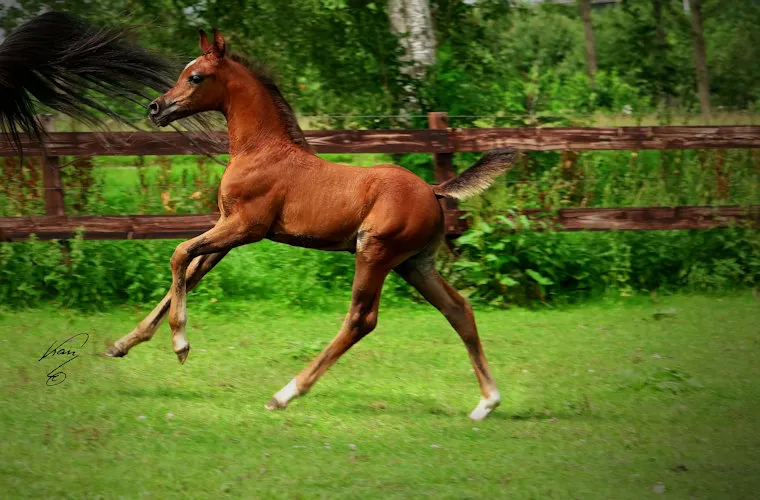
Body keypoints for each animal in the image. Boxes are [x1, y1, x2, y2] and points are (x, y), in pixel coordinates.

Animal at [102, 29, 516, 422]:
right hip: (415, 264)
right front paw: (121, 344)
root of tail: (433, 190)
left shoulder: (245, 227)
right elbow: (189, 274)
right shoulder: (227, 230)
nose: (155, 107)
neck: (260, 150)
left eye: (195, 77)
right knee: (459, 310)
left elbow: (179, 253)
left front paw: (181, 344)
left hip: (375, 252)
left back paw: (284, 394)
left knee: (361, 320)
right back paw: (487, 403)